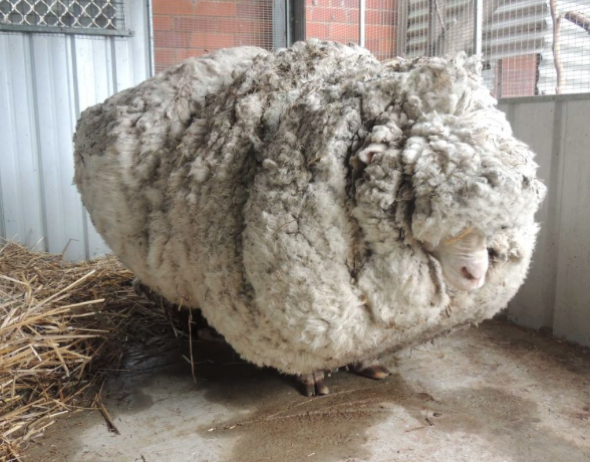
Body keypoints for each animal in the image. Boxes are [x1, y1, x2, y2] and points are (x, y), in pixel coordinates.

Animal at [74, 39, 552, 396]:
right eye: (420, 191)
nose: (476, 275)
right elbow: (304, 359)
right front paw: (311, 379)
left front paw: (368, 365)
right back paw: (190, 329)